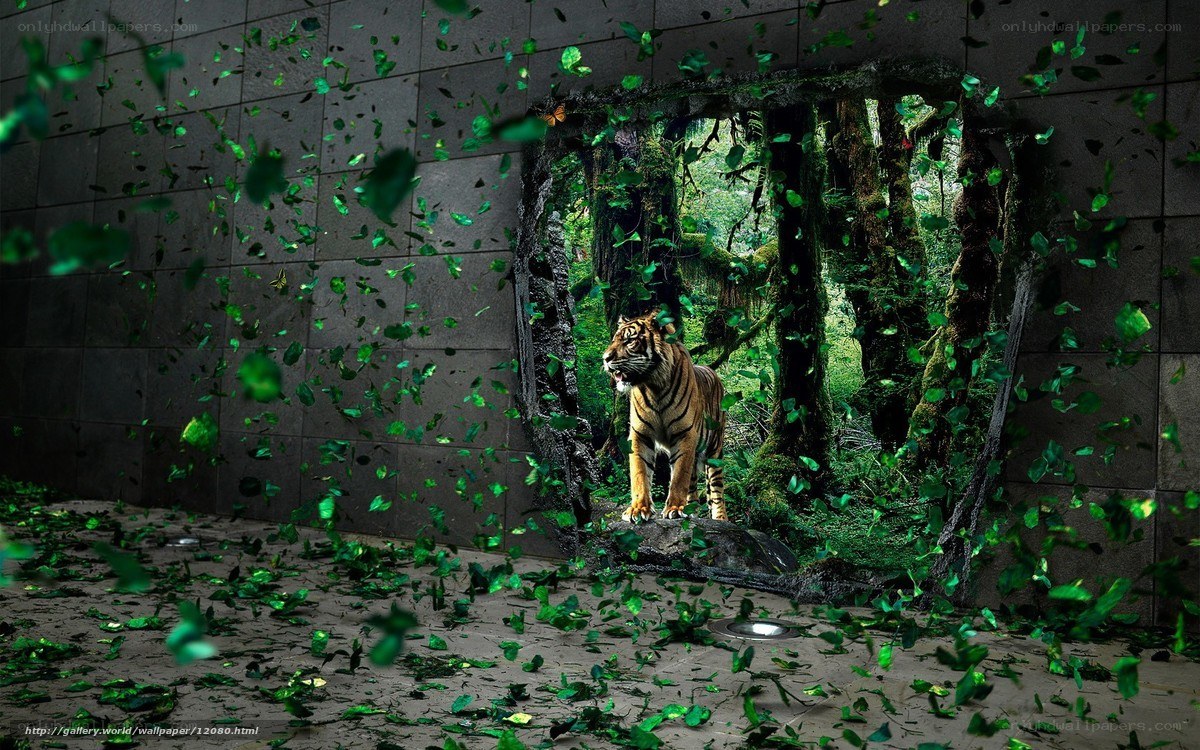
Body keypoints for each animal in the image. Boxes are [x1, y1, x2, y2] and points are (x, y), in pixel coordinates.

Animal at [601, 309, 728, 523]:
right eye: (614, 340)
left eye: (630, 340)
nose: (605, 358)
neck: (654, 386)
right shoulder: (640, 434)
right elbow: (639, 473)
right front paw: (638, 509)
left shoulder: (685, 434)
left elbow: (679, 477)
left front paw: (675, 508)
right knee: (693, 484)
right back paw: (692, 508)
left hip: (715, 450)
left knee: (716, 489)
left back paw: (719, 518)